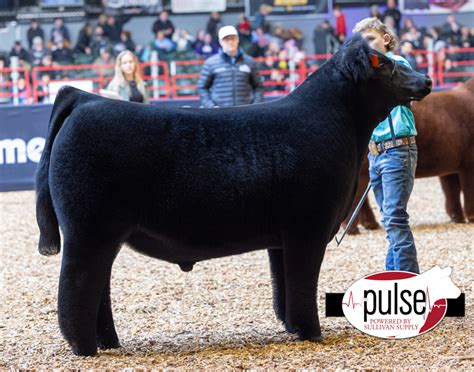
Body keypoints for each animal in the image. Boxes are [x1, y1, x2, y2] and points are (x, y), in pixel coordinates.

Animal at [346, 79, 472, 234]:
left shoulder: (450, 165)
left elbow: (452, 190)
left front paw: (457, 218)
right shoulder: (469, 163)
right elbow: (467, 189)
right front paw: (470, 217)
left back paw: (371, 225)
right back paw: (352, 229)